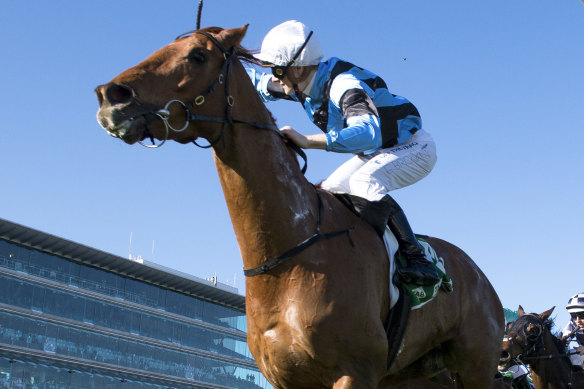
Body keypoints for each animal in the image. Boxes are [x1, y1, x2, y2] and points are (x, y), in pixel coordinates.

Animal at [94, 25, 502, 386]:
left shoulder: (355, 370)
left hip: (476, 365)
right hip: (419, 376)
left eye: (197, 56)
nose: (110, 96)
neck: (290, 253)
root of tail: (480, 276)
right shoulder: (285, 376)